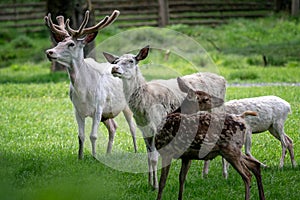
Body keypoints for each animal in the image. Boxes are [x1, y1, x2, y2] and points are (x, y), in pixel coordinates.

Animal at [44, 10, 138, 159]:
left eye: (71, 44)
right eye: (59, 42)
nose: (49, 52)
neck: (83, 92)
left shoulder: (98, 107)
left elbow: (93, 135)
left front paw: (94, 157)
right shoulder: (77, 110)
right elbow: (81, 136)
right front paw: (80, 157)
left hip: (126, 105)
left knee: (132, 127)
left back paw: (135, 150)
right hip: (107, 113)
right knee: (113, 126)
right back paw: (108, 153)